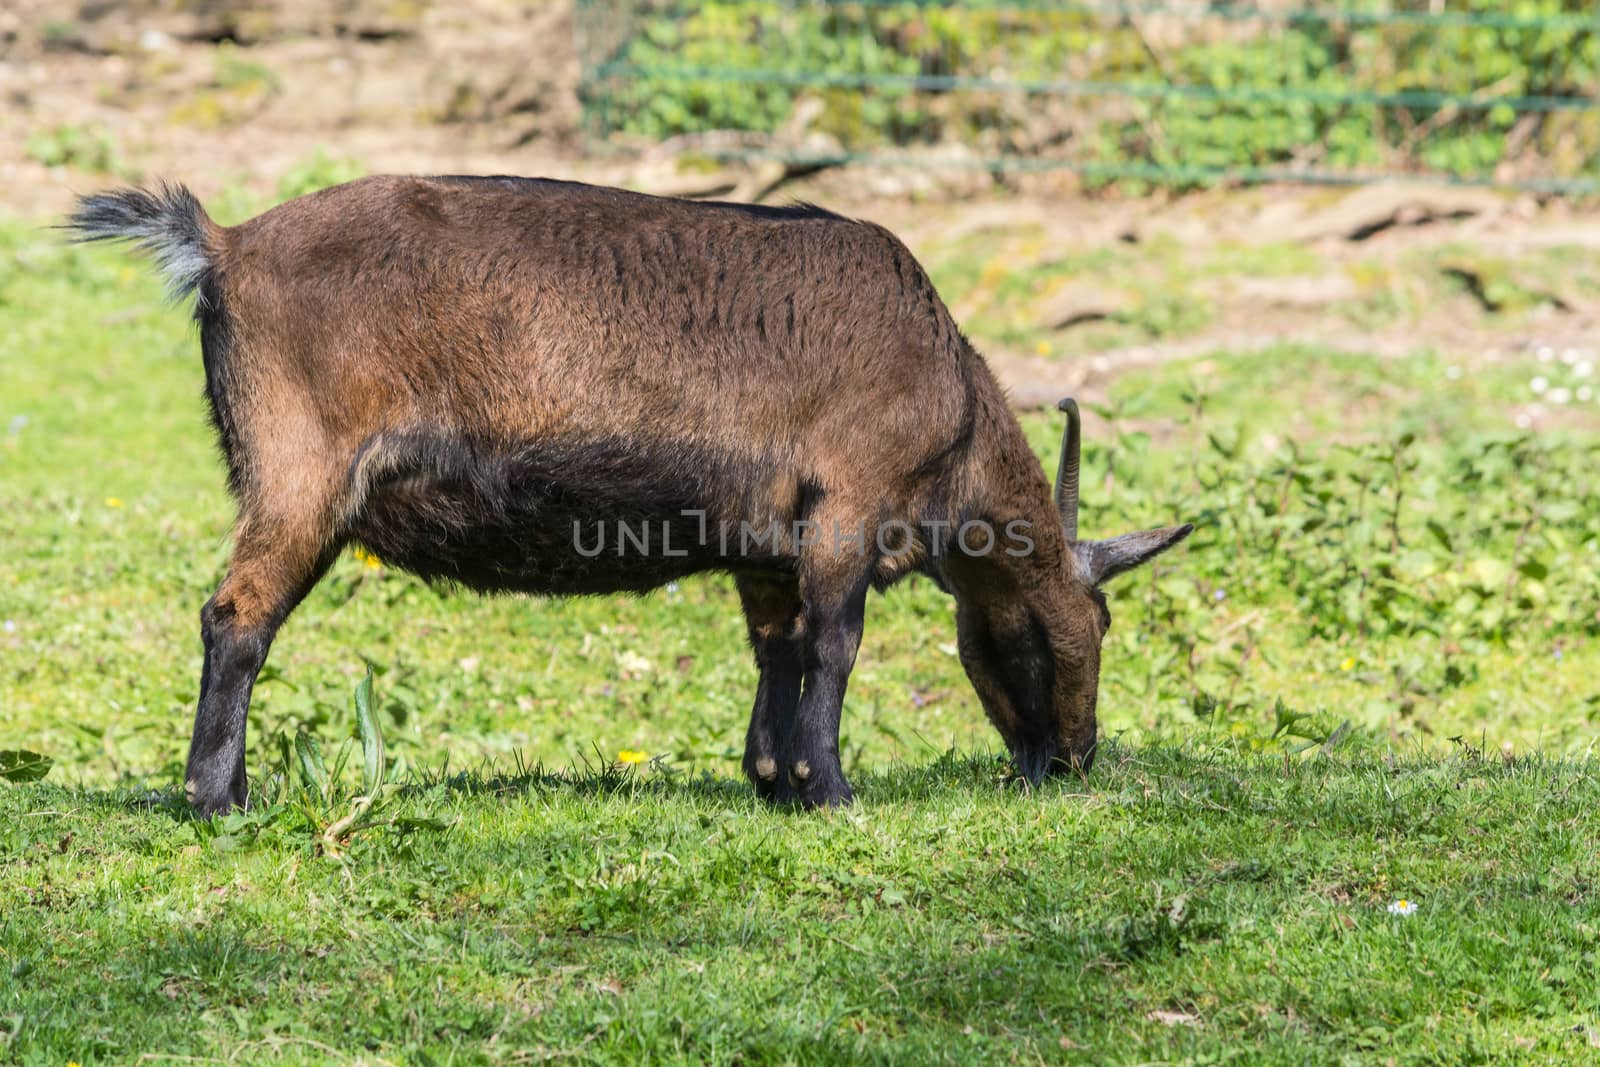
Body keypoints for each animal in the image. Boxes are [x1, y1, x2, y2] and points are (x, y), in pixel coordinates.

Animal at [68, 177, 1190, 819]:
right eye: (1081, 622)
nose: (1070, 760)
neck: (945, 390)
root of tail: (224, 244)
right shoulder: (845, 502)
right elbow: (835, 642)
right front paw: (830, 790)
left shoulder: (765, 545)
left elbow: (778, 648)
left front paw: (772, 779)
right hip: (300, 477)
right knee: (236, 618)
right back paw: (218, 800)